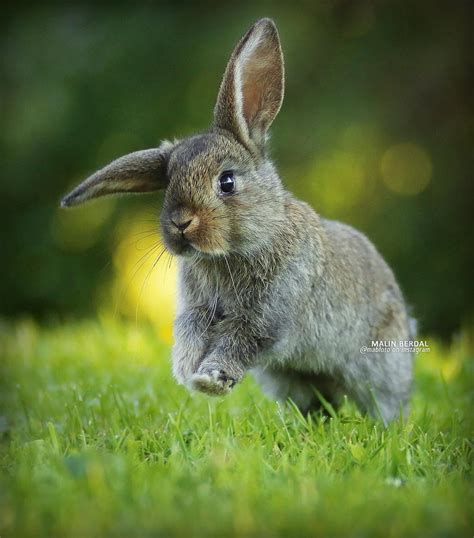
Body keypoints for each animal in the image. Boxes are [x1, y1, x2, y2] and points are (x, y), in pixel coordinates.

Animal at [61, 17, 412, 422]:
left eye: (226, 181)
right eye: (168, 183)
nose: (180, 223)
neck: (237, 250)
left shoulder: (267, 316)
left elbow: (238, 342)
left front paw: (208, 381)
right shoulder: (197, 309)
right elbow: (191, 331)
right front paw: (186, 369)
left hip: (379, 367)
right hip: (289, 378)